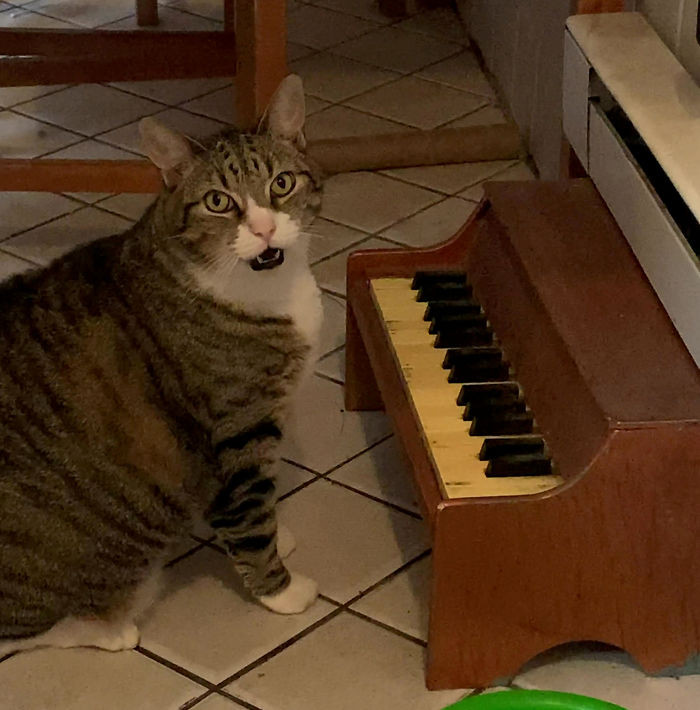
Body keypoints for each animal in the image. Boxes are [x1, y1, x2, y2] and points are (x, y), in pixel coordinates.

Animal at [0, 75, 322, 660]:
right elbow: (249, 515)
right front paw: (281, 590)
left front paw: (280, 532)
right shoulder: (236, 431)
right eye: (218, 201)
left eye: (282, 183)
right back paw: (105, 628)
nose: (264, 229)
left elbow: (259, 498)